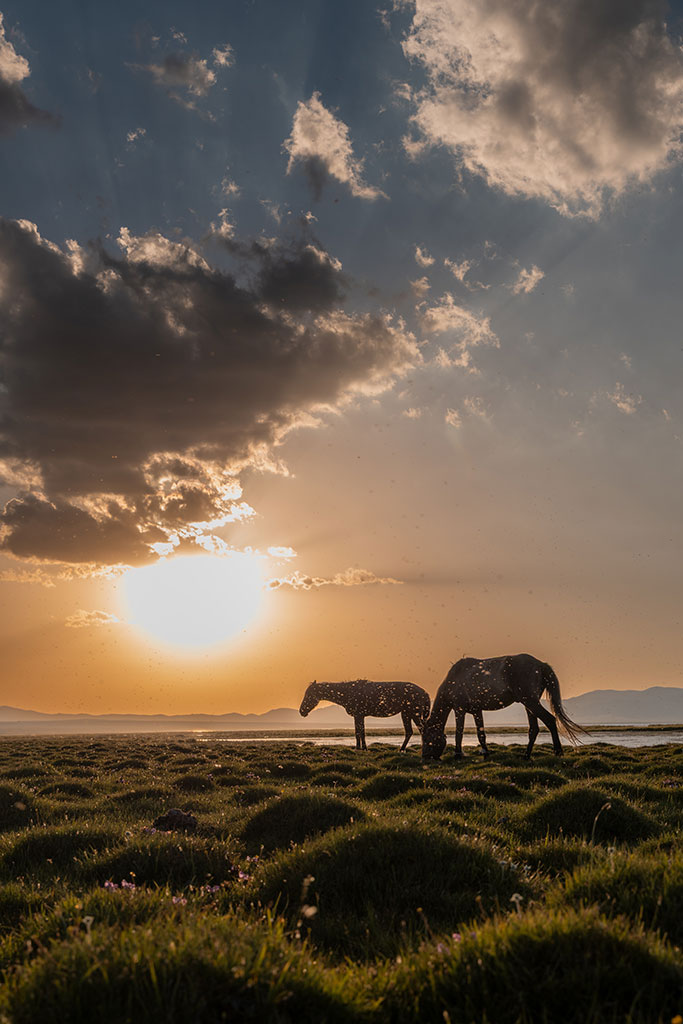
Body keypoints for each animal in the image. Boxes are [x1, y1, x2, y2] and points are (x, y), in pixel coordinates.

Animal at [299, 679, 431, 751]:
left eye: (309, 694)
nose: (302, 711)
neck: (347, 692)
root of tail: (424, 692)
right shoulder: (359, 716)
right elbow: (360, 732)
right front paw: (362, 748)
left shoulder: (358, 715)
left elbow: (359, 732)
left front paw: (360, 748)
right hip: (406, 714)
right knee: (410, 732)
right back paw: (401, 749)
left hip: (414, 713)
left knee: (421, 730)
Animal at [421, 654, 584, 761]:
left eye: (427, 739)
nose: (425, 757)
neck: (454, 679)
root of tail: (540, 664)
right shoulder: (476, 711)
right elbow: (480, 733)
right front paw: (486, 753)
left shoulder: (459, 710)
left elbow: (458, 733)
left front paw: (457, 754)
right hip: (529, 705)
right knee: (534, 729)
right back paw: (526, 755)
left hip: (531, 703)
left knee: (550, 720)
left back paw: (557, 751)